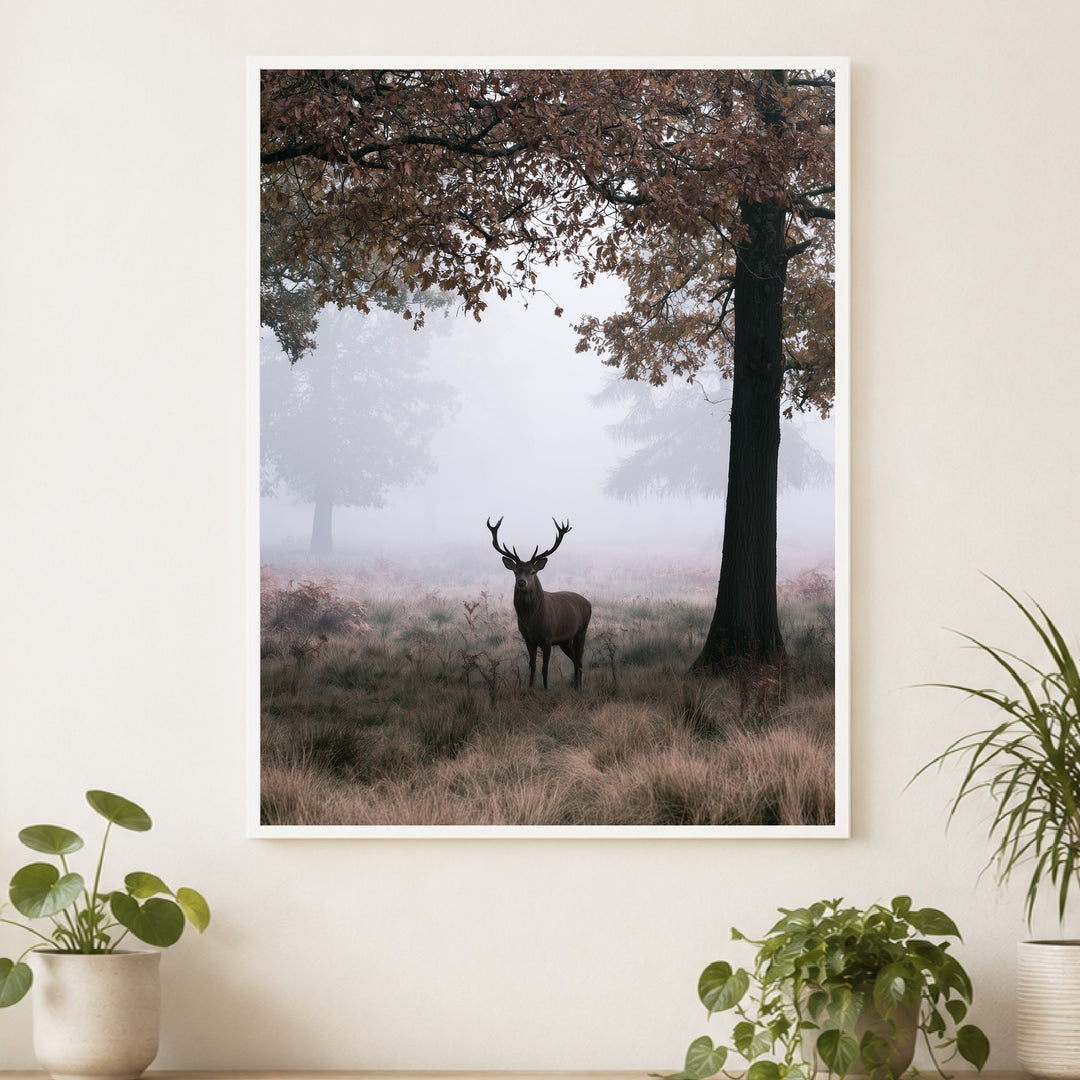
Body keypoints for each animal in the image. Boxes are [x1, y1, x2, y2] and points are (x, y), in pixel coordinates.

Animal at [487, 516, 592, 690]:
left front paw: (545, 689)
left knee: (580, 659)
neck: (531, 620)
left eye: (533, 572)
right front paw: (530, 688)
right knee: (575, 660)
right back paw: (576, 687)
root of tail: (589, 603)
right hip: (565, 640)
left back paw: (580, 688)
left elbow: (545, 667)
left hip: (581, 630)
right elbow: (533, 666)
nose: (521, 582)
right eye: (515, 571)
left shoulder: (548, 637)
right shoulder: (528, 639)